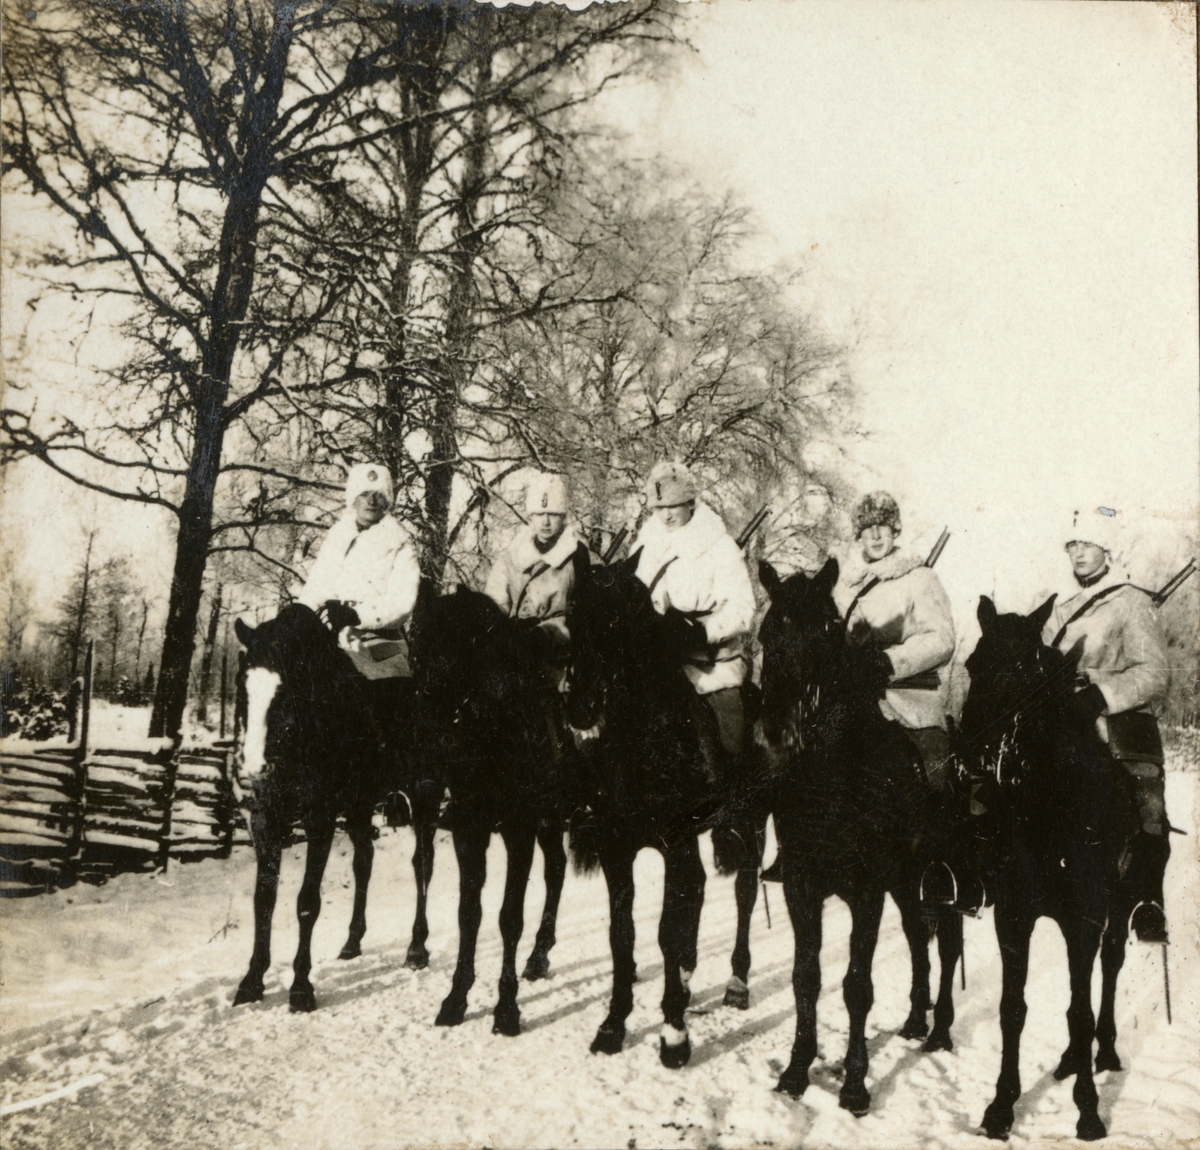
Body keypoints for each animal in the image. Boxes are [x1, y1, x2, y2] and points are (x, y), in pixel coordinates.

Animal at [231, 607, 429, 1013]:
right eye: (243, 684)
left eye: (287, 690)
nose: (255, 767)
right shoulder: (265, 820)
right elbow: (263, 899)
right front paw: (252, 981)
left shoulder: (319, 820)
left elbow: (307, 902)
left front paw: (300, 988)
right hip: (358, 806)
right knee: (364, 861)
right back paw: (353, 942)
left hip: (422, 793)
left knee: (421, 863)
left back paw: (417, 947)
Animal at [405, 581, 568, 1041]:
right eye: (415, 654)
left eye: (462, 654)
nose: (429, 746)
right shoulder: (469, 831)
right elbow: (469, 914)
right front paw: (456, 998)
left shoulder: (519, 831)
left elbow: (509, 917)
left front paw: (507, 1009)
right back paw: (539, 955)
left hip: (548, 820)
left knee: (555, 871)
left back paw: (538, 956)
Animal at [564, 549, 768, 1070]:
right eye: (572, 615)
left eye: (618, 619)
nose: (581, 705)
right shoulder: (618, 849)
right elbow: (623, 933)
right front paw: (614, 1023)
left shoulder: (674, 841)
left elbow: (665, 931)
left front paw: (673, 1033)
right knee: (697, 892)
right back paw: (690, 977)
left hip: (752, 823)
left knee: (743, 893)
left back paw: (736, 983)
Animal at [758, 561, 964, 1118]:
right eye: (767, 633)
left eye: (827, 630)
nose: (782, 731)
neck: (831, 775)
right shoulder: (801, 885)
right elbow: (805, 977)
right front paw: (796, 1069)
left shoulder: (866, 891)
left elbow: (856, 985)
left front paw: (854, 1084)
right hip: (906, 882)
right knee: (917, 937)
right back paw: (915, 1020)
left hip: (940, 880)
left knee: (949, 946)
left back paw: (939, 1030)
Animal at [955, 597, 1132, 1137]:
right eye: (972, 665)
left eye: (1023, 672)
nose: (971, 756)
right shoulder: (1013, 916)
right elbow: (1013, 1009)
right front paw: (1000, 1106)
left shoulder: (1084, 920)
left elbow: (1081, 1010)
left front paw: (1089, 1110)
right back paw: (1072, 1059)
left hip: (1120, 905)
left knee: (1110, 969)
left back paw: (1103, 1051)